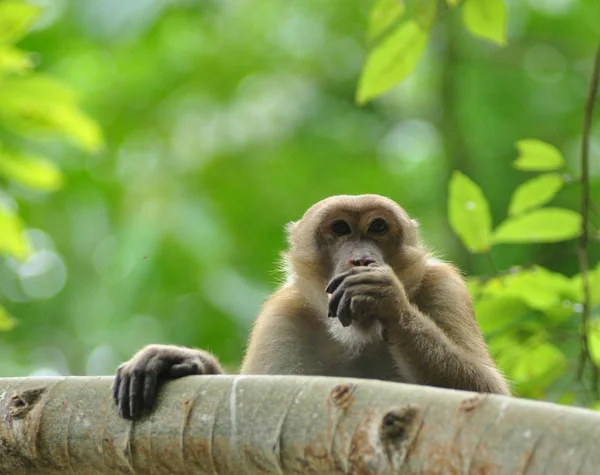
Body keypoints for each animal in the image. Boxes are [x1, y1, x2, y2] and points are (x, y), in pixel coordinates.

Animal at [111, 193, 506, 420]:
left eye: (378, 227)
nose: (361, 260)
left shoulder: (444, 286)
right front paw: (186, 361)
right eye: (341, 229)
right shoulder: (283, 317)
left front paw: (388, 299)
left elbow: (487, 397)